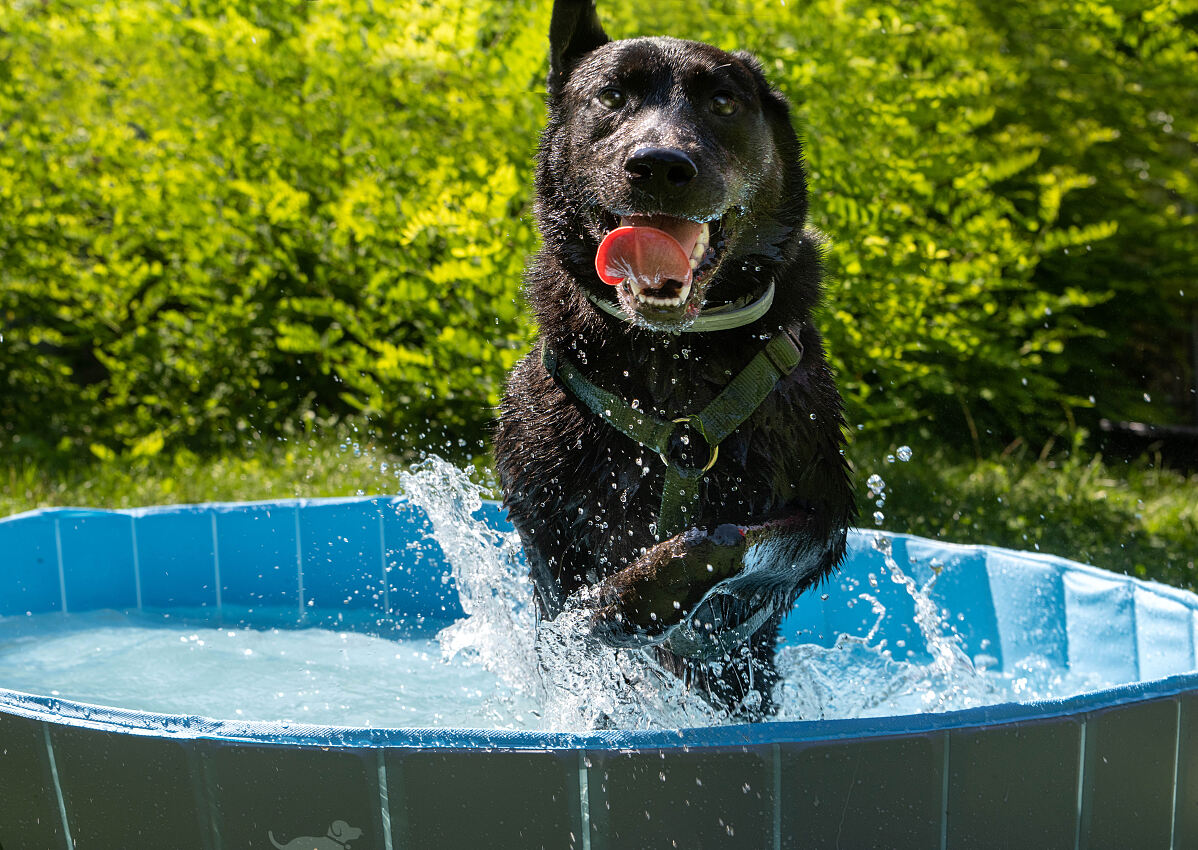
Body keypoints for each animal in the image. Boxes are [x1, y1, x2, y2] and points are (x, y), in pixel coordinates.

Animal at [493, 0, 852, 718]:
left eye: (722, 102)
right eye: (611, 97)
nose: (659, 164)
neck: (671, 359)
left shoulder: (825, 514)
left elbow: (736, 541)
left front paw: (623, 607)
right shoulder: (542, 514)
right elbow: (565, 616)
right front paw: (604, 616)